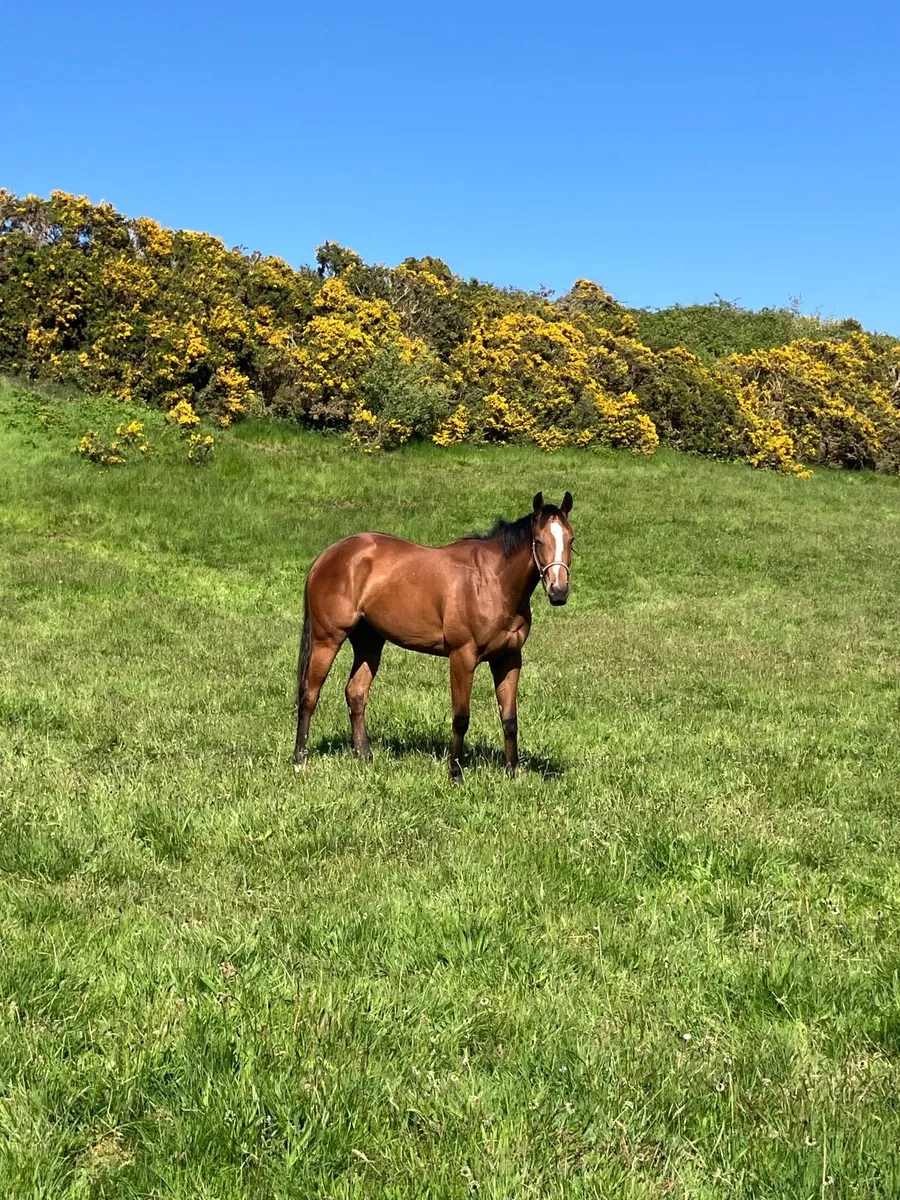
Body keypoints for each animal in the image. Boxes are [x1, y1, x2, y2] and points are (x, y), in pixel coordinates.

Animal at [293, 491, 574, 781]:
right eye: (538, 541)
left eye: (571, 540)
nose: (559, 591)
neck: (492, 583)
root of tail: (328, 555)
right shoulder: (462, 657)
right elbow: (461, 717)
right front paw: (456, 773)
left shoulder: (509, 659)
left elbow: (509, 718)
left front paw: (512, 772)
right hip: (327, 640)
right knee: (309, 694)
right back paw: (300, 760)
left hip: (369, 642)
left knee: (356, 693)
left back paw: (365, 756)